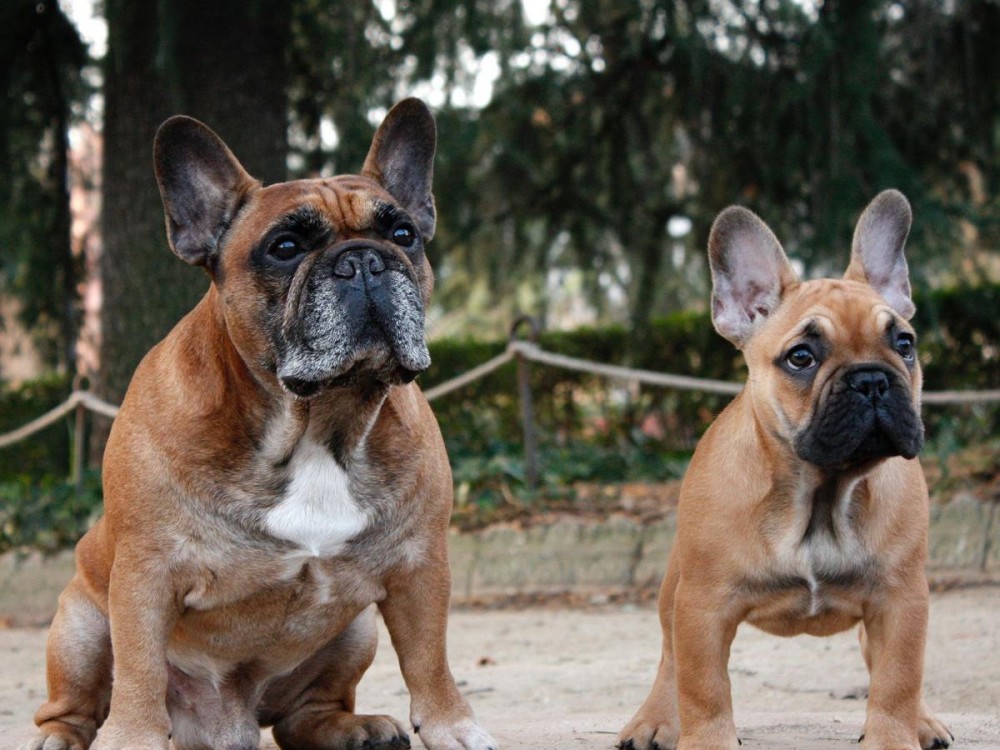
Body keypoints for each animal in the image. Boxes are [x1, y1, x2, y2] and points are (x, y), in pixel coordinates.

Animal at [22, 99, 497, 750]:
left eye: (403, 235)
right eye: (286, 246)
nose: (364, 259)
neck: (319, 422)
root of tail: (227, 724)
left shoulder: (419, 565)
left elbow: (430, 658)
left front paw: (454, 726)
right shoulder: (145, 574)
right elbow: (140, 670)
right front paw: (134, 736)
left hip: (355, 631)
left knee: (305, 714)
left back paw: (355, 727)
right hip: (79, 624)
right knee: (75, 702)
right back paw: (58, 737)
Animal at [617, 191, 953, 750]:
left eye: (904, 344)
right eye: (801, 357)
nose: (872, 380)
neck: (822, 492)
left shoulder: (901, 600)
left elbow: (898, 679)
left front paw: (894, 735)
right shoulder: (703, 606)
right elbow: (703, 687)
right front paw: (706, 739)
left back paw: (923, 721)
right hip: (673, 590)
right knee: (670, 660)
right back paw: (654, 720)